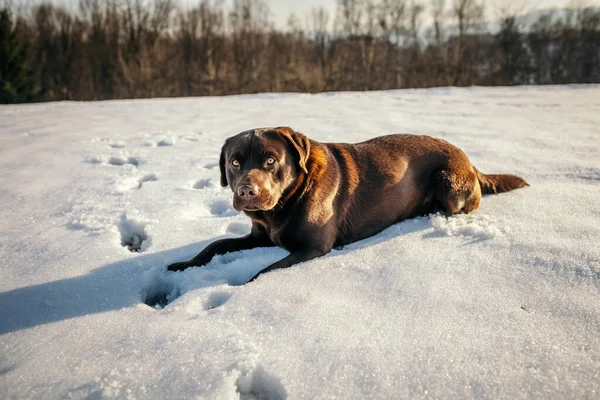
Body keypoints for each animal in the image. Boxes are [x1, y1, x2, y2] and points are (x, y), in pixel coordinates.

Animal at [166, 128, 528, 282]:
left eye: (270, 161)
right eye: (235, 163)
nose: (246, 191)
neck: (286, 202)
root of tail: (471, 162)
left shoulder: (313, 248)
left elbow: (264, 271)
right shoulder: (259, 236)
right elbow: (214, 245)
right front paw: (182, 265)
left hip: (449, 181)